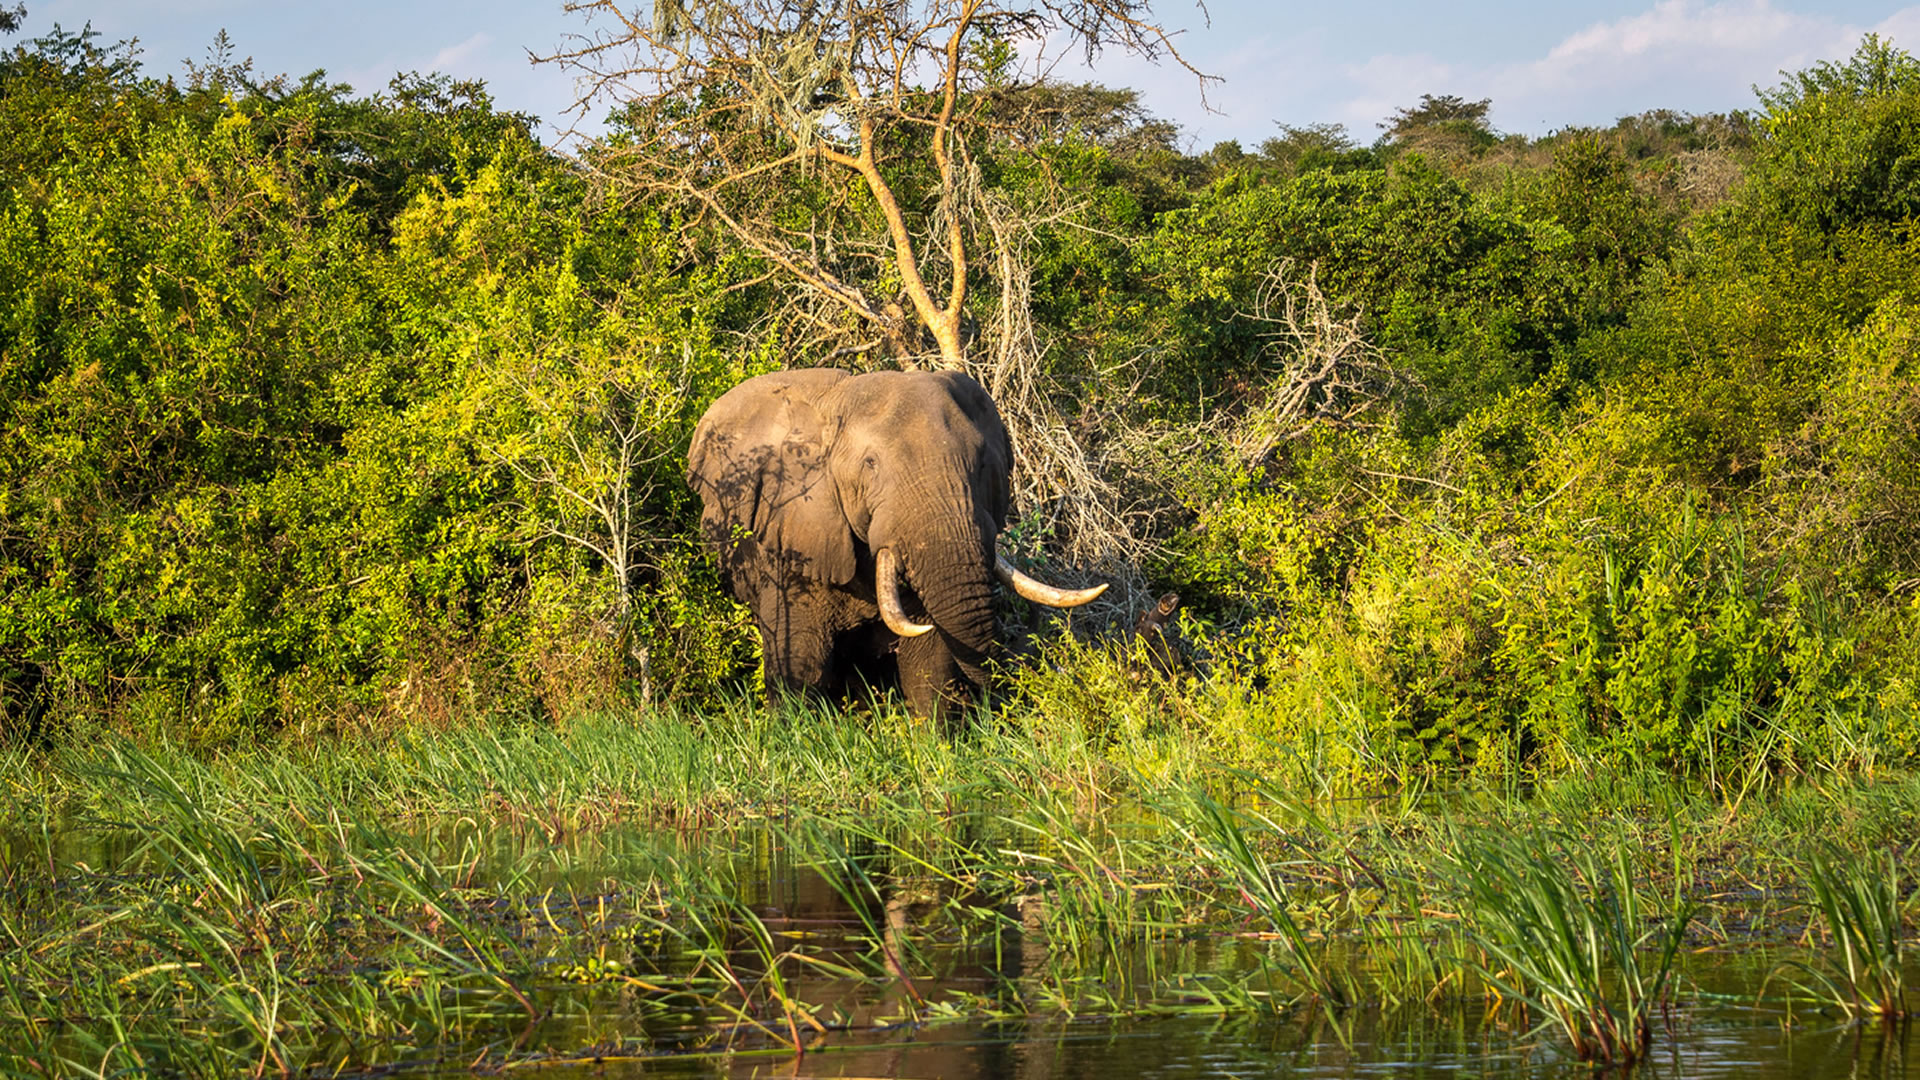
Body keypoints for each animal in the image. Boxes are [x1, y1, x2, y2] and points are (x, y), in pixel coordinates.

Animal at [686, 367, 1104, 720]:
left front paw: (936, 745)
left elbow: (927, 659)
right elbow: (801, 660)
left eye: (982, 461)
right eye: (870, 464)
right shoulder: (790, 526)